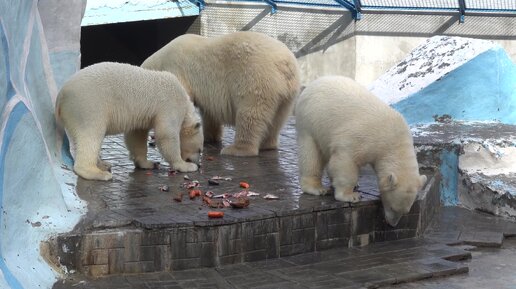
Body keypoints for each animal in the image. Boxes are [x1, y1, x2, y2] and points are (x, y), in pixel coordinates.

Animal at [55, 62, 202, 181]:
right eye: (200, 150)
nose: (199, 164)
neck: (186, 104)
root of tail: (61, 95)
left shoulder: (143, 116)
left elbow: (136, 136)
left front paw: (149, 163)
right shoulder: (171, 105)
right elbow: (167, 135)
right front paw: (186, 165)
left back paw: (104, 165)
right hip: (88, 105)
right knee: (91, 135)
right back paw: (98, 173)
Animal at [142, 31, 302, 156]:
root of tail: (285, 63)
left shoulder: (177, 70)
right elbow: (210, 113)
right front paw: (210, 137)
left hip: (255, 78)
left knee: (250, 114)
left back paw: (236, 149)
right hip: (287, 93)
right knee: (277, 119)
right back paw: (267, 144)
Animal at [294, 75, 428, 226]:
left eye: (405, 211)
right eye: (393, 208)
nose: (392, 224)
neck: (394, 141)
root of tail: (314, 83)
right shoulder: (361, 139)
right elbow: (345, 161)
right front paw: (351, 196)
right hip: (311, 121)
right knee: (311, 155)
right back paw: (317, 188)